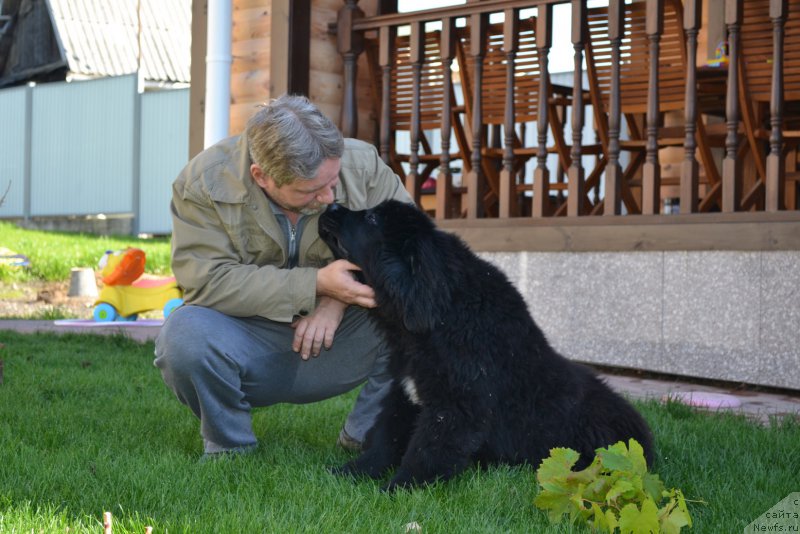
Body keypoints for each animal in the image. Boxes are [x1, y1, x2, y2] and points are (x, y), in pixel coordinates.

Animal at [316, 202, 652, 494]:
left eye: (372, 218)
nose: (332, 205)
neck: (440, 319)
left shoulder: (456, 406)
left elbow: (425, 451)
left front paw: (397, 488)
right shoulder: (406, 392)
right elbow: (387, 439)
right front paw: (350, 473)